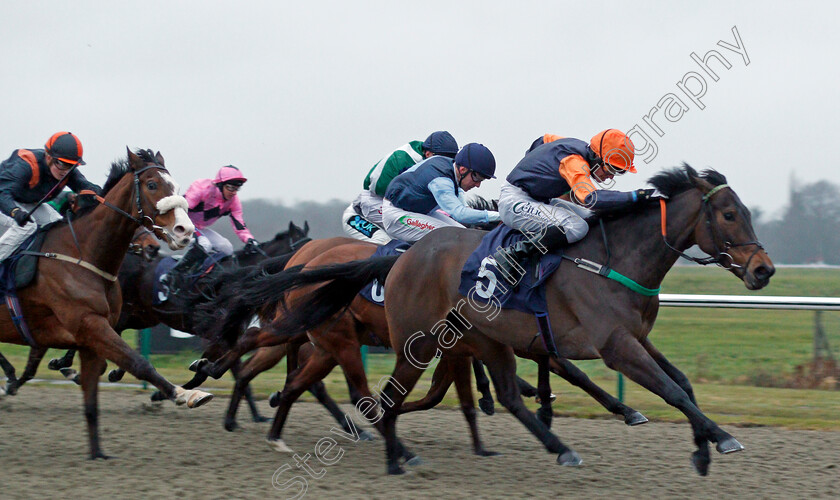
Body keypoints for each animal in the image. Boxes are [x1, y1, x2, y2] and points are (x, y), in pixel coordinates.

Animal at [0, 146, 213, 458]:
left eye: (174, 185)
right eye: (152, 185)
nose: (184, 231)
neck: (83, 254)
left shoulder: (93, 334)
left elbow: (93, 397)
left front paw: (98, 453)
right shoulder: (90, 325)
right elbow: (139, 362)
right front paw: (186, 393)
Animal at [251, 166, 776, 474]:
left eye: (746, 212)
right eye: (729, 215)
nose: (763, 270)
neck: (614, 260)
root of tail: (400, 260)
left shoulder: (634, 338)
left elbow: (681, 383)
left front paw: (701, 446)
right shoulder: (613, 345)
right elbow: (667, 390)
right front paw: (721, 438)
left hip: (482, 339)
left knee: (501, 394)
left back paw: (558, 446)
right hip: (405, 343)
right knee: (378, 395)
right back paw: (393, 456)